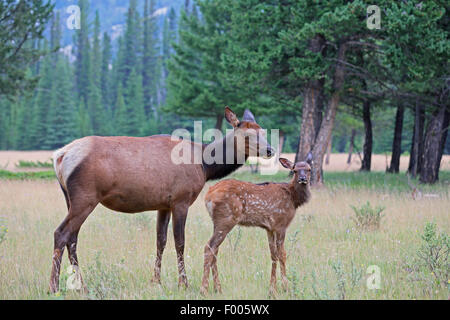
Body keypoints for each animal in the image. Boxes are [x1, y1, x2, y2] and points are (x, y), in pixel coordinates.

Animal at [49, 107, 274, 292]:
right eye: (247, 135)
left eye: (263, 132)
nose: (270, 150)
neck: (204, 165)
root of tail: (60, 156)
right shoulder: (181, 199)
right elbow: (180, 242)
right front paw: (183, 283)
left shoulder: (164, 204)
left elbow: (161, 240)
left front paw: (155, 281)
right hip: (85, 197)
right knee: (61, 233)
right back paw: (54, 286)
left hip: (71, 199)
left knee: (72, 239)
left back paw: (80, 285)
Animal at [201, 153, 312, 296]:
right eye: (295, 170)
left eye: (309, 169)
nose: (303, 179)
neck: (293, 199)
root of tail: (207, 196)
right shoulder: (281, 224)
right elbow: (282, 254)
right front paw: (286, 288)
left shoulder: (269, 228)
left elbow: (273, 255)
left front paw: (272, 289)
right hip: (226, 219)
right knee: (209, 247)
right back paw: (204, 289)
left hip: (218, 221)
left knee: (215, 249)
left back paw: (218, 289)